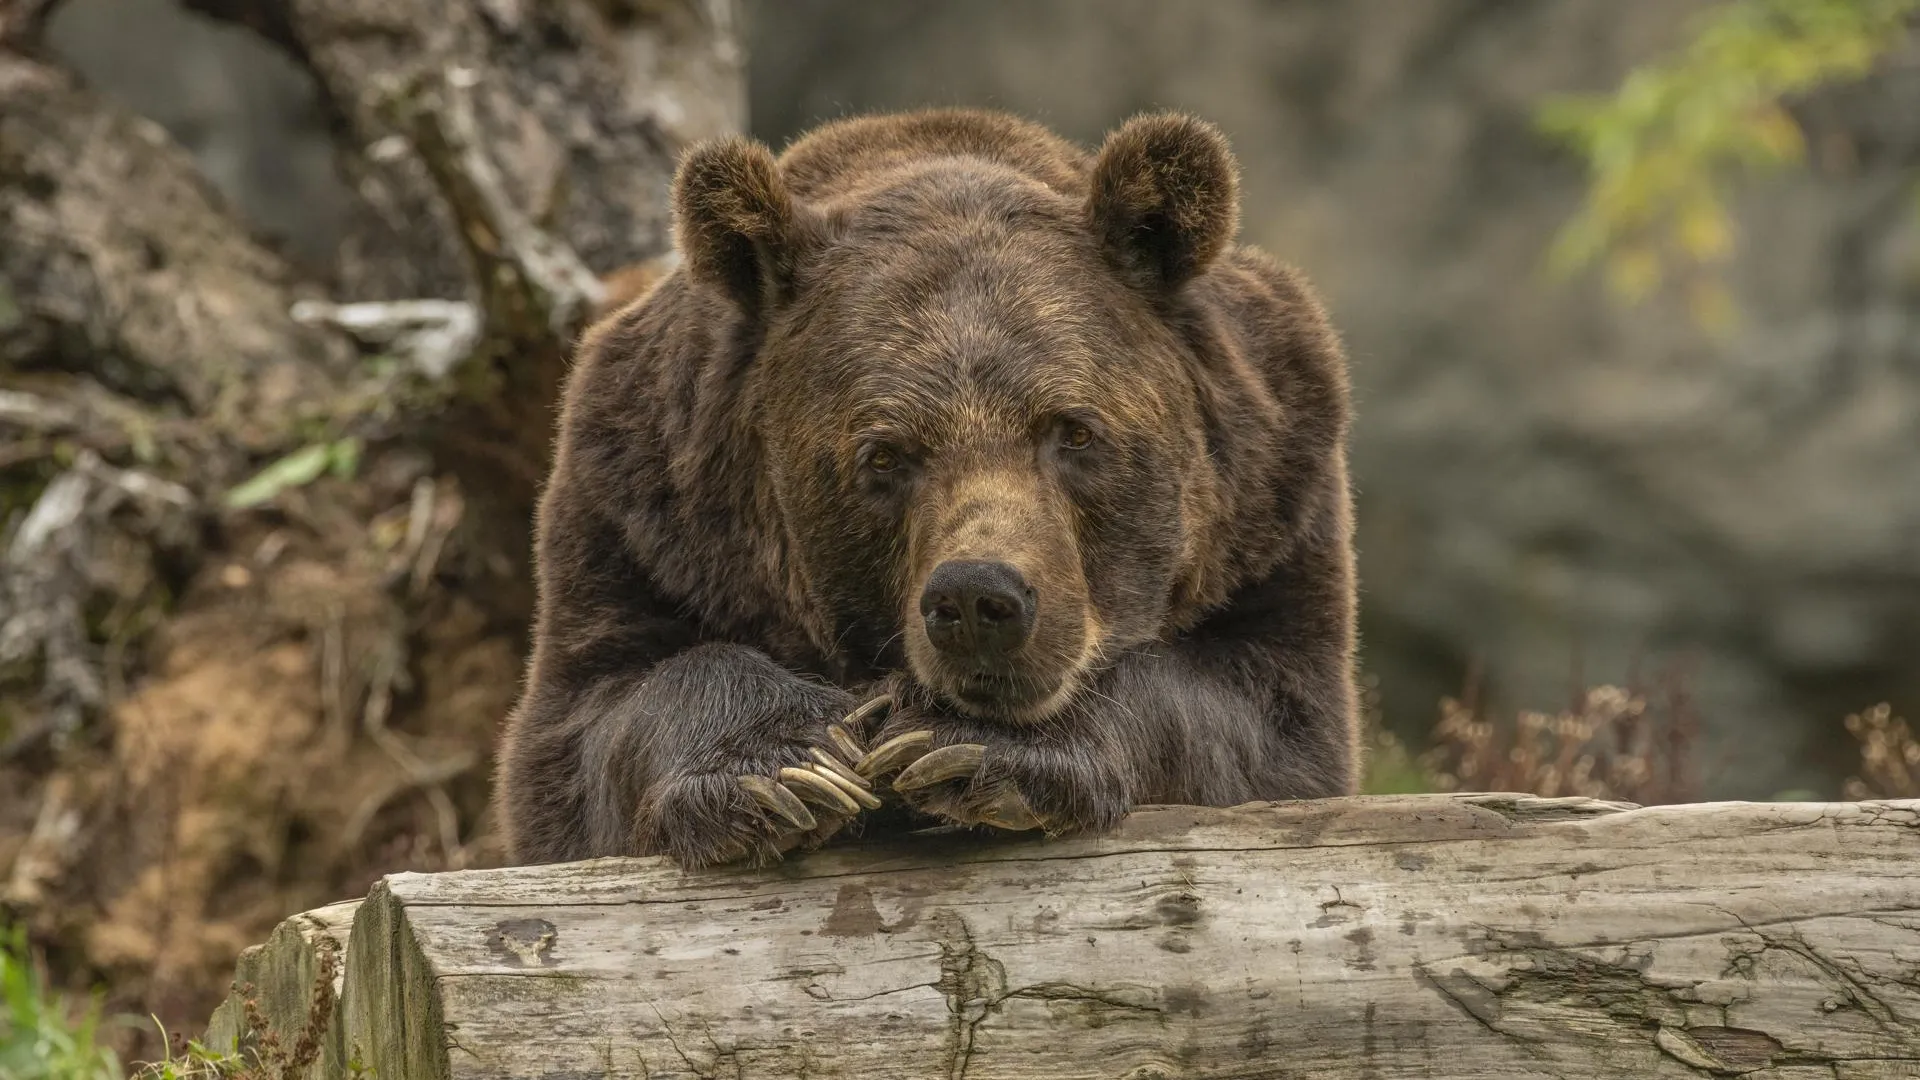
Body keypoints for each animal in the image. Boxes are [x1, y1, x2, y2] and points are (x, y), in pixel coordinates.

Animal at [503, 107, 1359, 864]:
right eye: (884, 454)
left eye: (1074, 430)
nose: (979, 600)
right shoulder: (641, 514)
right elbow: (590, 724)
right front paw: (790, 766)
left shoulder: (1273, 505)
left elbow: (1263, 719)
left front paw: (963, 744)